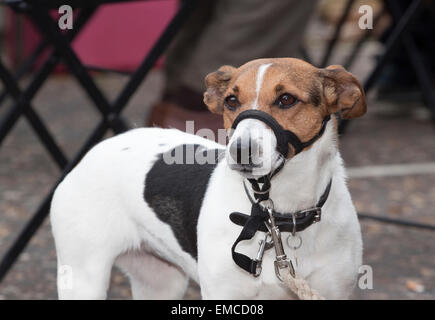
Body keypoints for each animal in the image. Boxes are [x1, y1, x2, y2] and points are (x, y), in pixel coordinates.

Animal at [49, 58, 366, 300]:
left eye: (286, 99)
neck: (279, 216)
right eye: (231, 100)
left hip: (160, 281)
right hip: (83, 277)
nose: (240, 150)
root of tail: (98, 148)